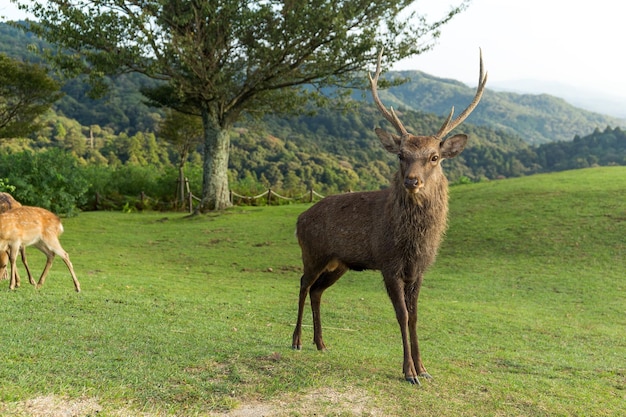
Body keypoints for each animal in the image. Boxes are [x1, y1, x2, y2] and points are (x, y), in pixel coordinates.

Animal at [290, 48, 486, 384]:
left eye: (434, 157)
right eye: (401, 155)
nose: (411, 181)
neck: (413, 242)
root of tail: (299, 219)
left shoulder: (419, 269)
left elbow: (416, 314)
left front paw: (424, 368)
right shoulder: (388, 263)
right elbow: (402, 314)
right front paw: (409, 372)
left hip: (338, 263)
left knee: (316, 290)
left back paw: (321, 343)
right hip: (313, 252)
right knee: (303, 284)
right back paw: (297, 341)